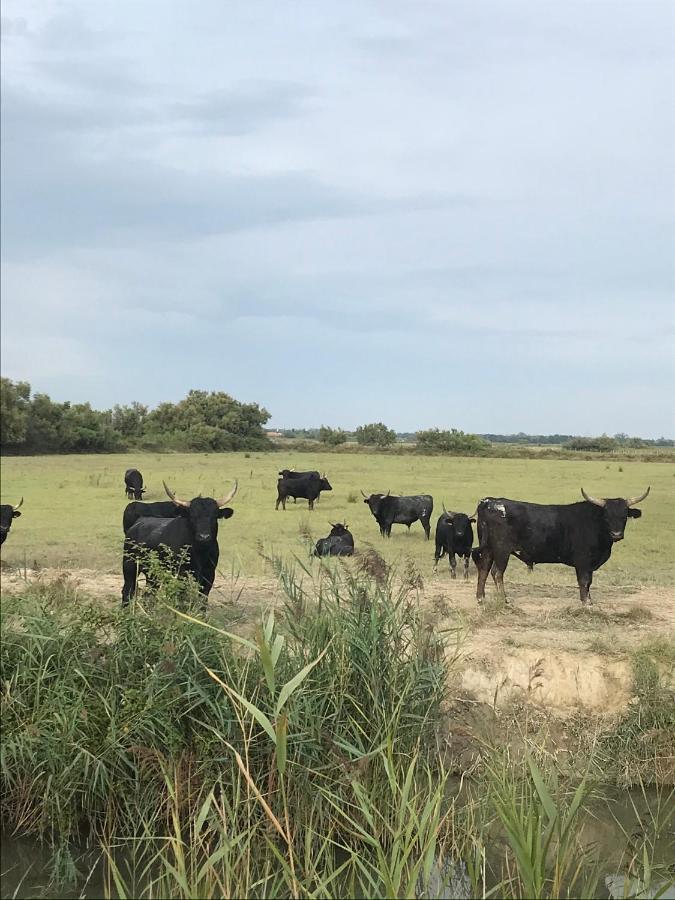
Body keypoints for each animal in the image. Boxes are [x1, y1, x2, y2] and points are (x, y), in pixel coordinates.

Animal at [472, 486, 652, 604]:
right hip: (501, 550)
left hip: (489, 549)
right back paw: (504, 600)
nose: (616, 534)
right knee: (497, 572)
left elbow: (589, 582)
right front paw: (586, 603)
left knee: (484, 569)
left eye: (624, 516)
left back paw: (481, 598)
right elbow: (584, 581)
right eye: (606, 516)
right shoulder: (583, 562)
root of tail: (489, 501)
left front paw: (590, 601)